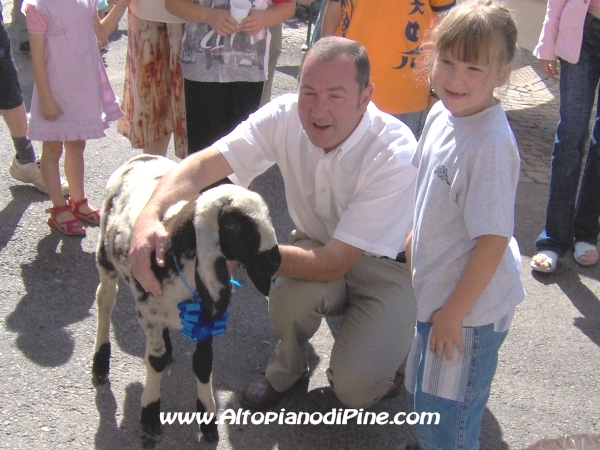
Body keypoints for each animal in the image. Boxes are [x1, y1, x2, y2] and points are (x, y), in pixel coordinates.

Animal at [91, 153, 282, 442]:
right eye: (233, 225)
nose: (275, 261)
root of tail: (142, 156)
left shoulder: (206, 315)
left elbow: (203, 364)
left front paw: (208, 421)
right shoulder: (147, 313)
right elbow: (155, 361)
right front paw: (150, 415)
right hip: (105, 254)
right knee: (105, 299)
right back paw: (100, 363)